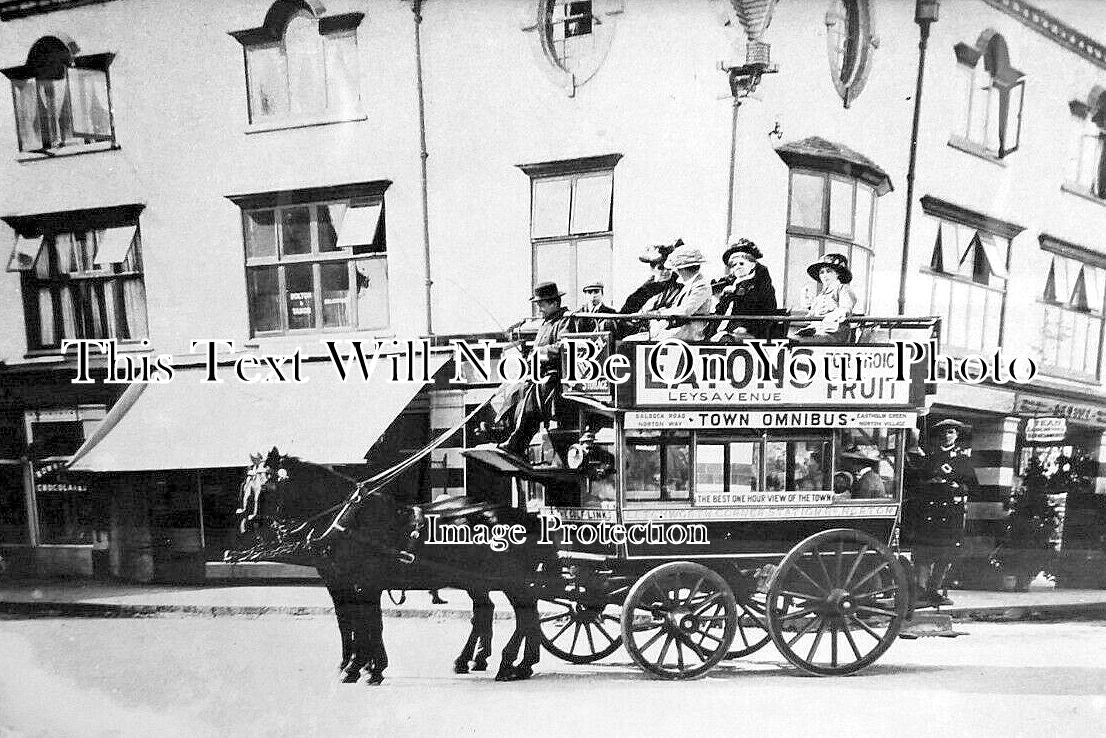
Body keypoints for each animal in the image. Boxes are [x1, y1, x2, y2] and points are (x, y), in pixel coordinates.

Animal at [230, 447, 548, 685]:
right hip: (479, 579)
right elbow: (351, 622)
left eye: (267, 486)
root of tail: (521, 515)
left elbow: (369, 623)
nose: (249, 525)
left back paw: (509, 662)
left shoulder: (364, 583)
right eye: (246, 485)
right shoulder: (341, 581)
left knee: (525, 615)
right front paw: (358, 664)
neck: (349, 519)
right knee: (497, 613)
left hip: (511, 580)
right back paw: (498, 661)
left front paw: (365, 668)